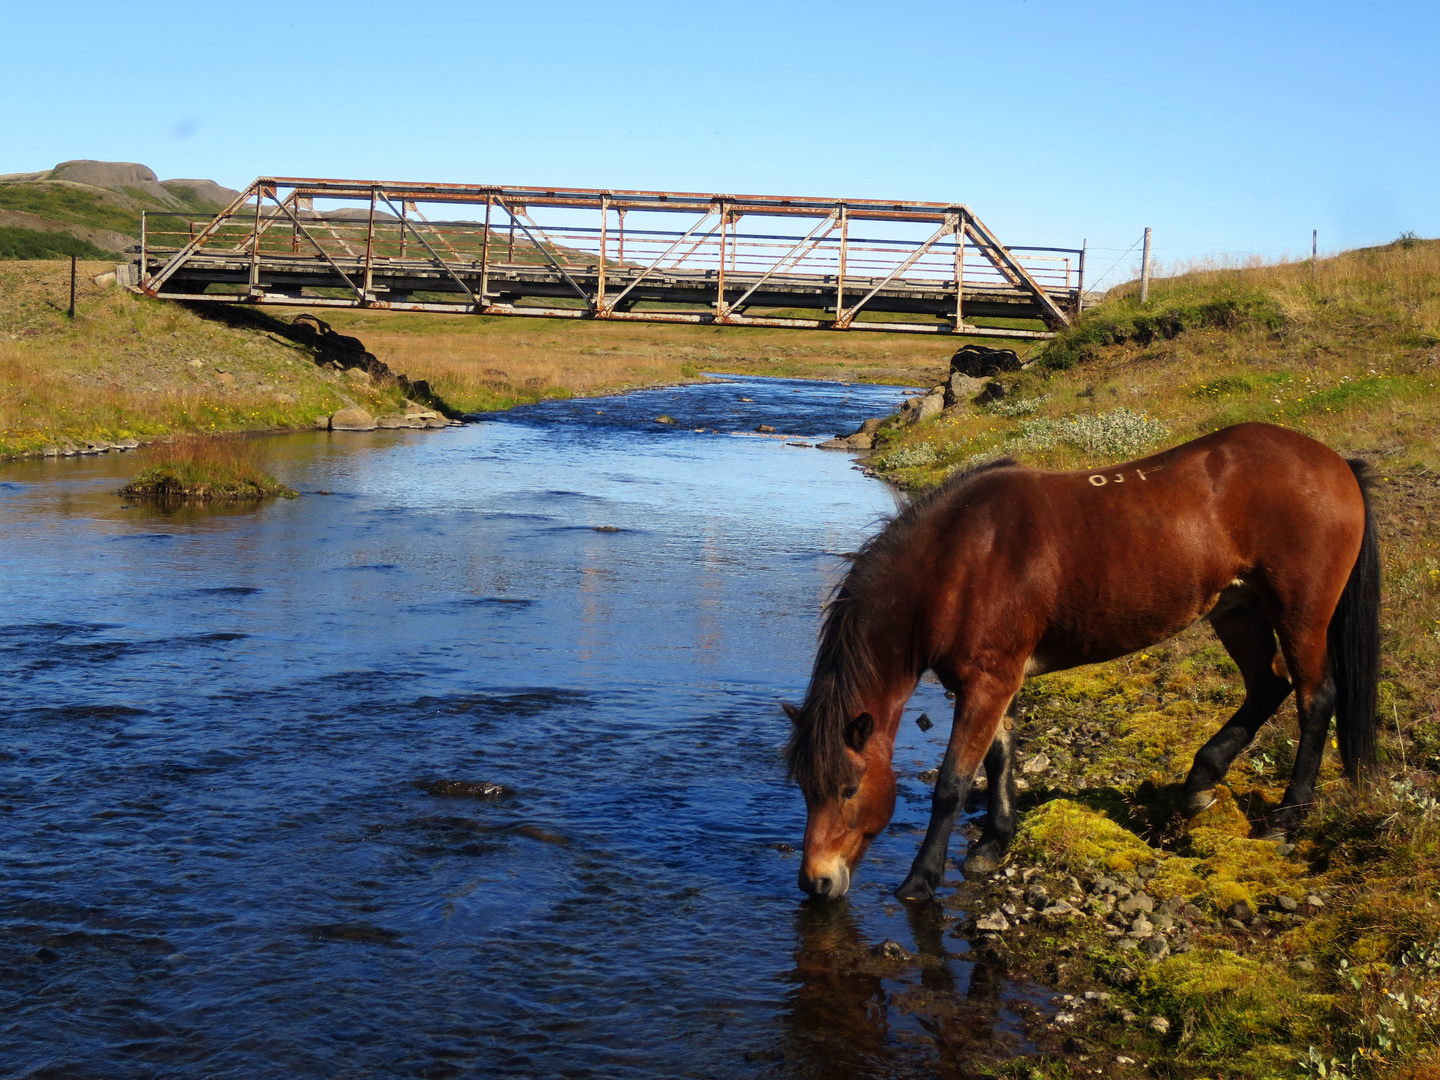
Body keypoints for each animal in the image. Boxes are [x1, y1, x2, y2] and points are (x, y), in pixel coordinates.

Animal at [789, 423, 1382, 904]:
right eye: (805, 789)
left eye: (848, 789)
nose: (816, 882)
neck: (958, 559)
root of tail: (1337, 465)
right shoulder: (994, 681)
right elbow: (1000, 755)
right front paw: (993, 844)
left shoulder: (986, 682)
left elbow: (953, 783)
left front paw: (920, 879)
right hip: (1238, 610)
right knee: (1267, 685)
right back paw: (1201, 781)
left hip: (1300, 614)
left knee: (1315, 699)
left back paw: (1286, 819)